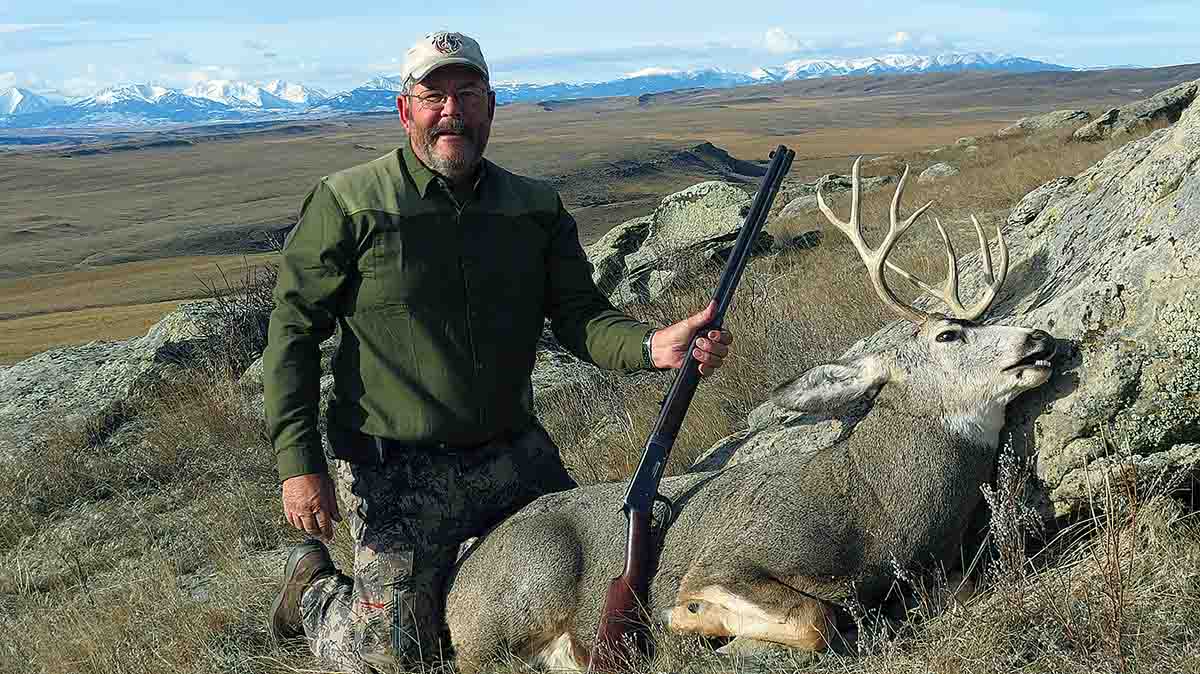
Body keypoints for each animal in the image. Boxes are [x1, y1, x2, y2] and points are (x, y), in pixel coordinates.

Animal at [441, 157, 1051, 666]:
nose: (1039, 340)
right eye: (949, 334)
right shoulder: (728, 559)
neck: (874, 511)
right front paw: (691, 618)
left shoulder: (940, 574)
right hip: (515, 604)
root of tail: (456, 584)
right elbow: (815, 617)